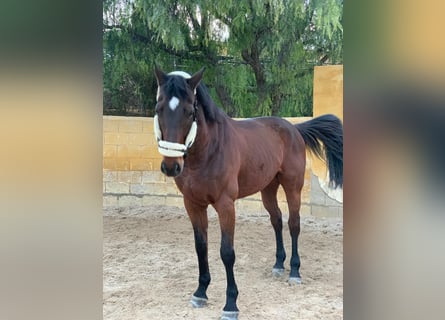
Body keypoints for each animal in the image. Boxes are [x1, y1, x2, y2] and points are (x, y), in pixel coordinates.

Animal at [151, 66, 342, 318]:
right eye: (159, 108)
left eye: (189, 111)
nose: (171, 166)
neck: (208, 150)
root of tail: (294, 128)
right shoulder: (193, 204)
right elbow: (201, 247)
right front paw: (200, 292)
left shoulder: (226, 205)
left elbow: (227, 252)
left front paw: (230, 304)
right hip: (268, 189)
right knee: (276, 220)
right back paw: (278, 265)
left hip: (292, 187)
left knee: (293, 224)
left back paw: (294, 271)